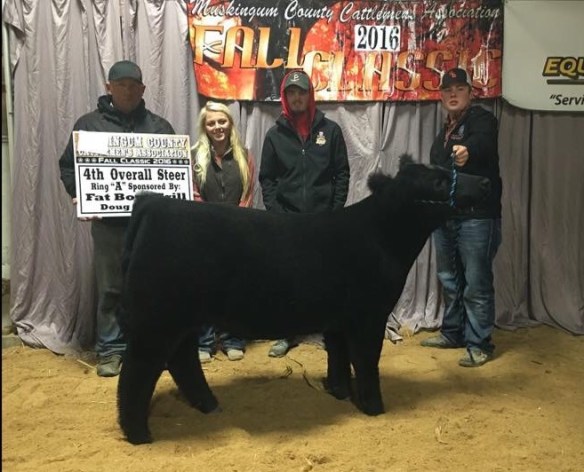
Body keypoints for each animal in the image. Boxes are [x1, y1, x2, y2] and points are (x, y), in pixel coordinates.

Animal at [117, 155, 491, 444]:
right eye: (438, 182)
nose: (485, 180)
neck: (381, 236)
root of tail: (153, 202)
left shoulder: (339, 318)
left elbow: (338, 355)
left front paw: (339, 392)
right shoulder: (368, 315)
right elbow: (366, 361)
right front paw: (373, 407)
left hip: (181, 319)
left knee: (181, 361)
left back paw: (209, 405)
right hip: (157, 319)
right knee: (138, 372)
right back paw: (139, 434)